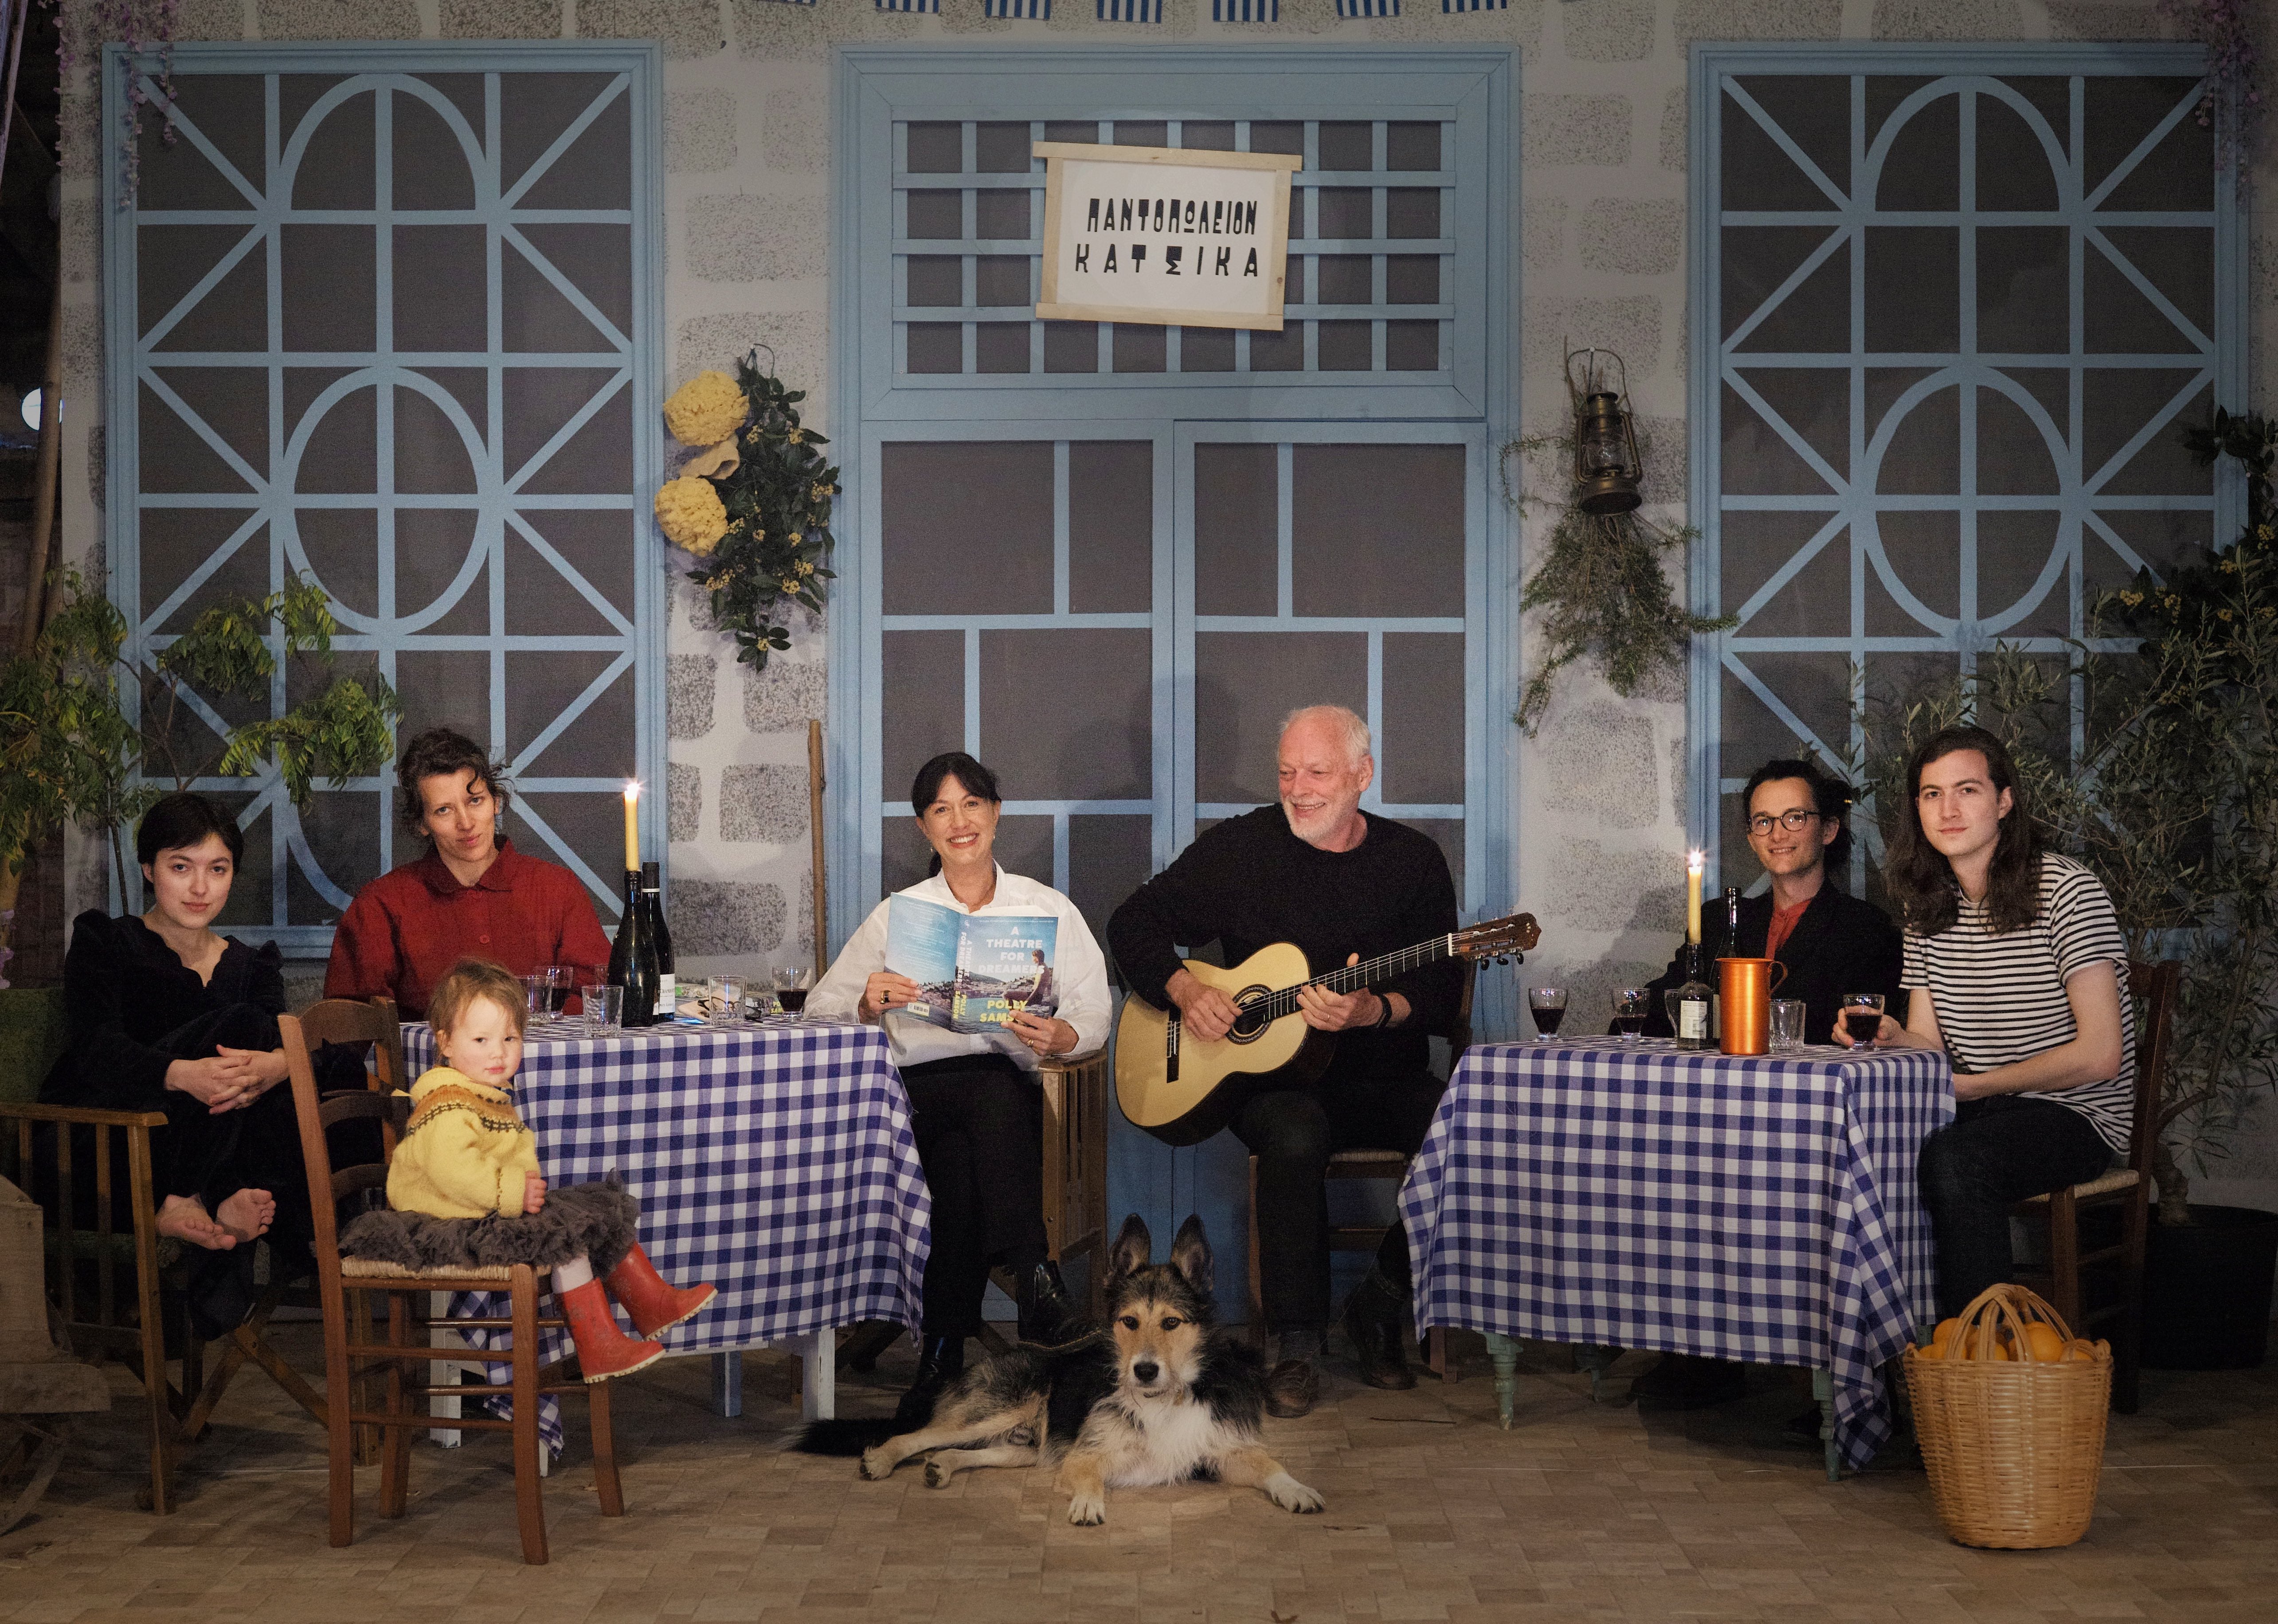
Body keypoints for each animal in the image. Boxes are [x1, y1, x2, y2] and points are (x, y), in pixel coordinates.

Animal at [802, 1221, 1330, 1521]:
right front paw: (1088, 1504)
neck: (1164, 1399)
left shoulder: (1223, 1450)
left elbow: (1272, 1466)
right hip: (998, 1411)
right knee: (916, 1435)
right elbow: (1090, 1477)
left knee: (949, 1449)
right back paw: (880, 1459)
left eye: (1172, 1323)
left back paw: (941, 1468)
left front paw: (1299, 1490)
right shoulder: (1083, 1455)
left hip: (1024, 1446)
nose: (1143, 1370)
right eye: (1129, 1322)